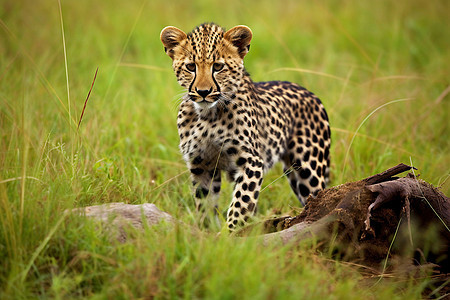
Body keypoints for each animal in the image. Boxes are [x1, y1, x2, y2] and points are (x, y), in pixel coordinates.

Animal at [160, 22, 328, 232]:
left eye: (218, 66)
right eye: (191, 67)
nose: (203, 92)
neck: (207, 115)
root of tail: (309, 92)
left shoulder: (251, 162)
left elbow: (241, 203)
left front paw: (229, 234)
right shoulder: (201, 165)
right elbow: (205, 204)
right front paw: (206, 233)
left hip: (308, 169)